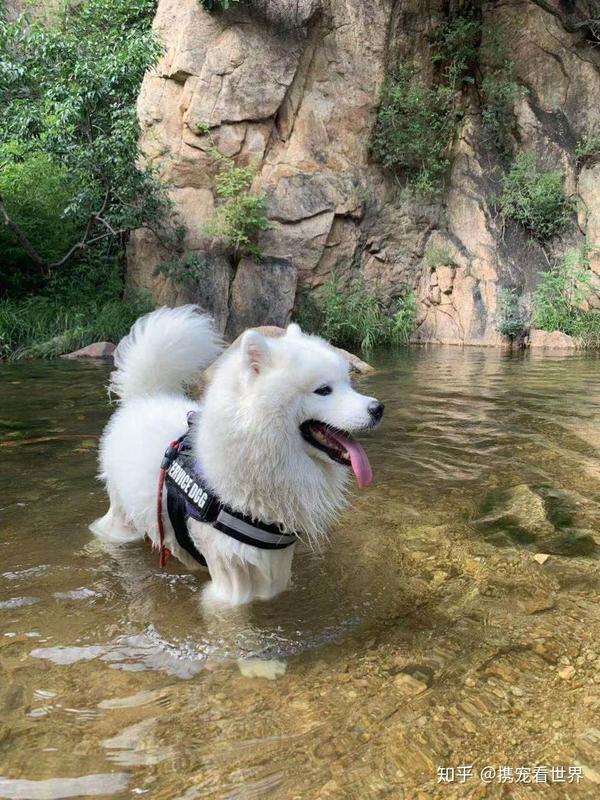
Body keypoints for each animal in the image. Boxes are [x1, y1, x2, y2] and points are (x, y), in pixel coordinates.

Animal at [94, 306, 384, 608]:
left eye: (348, 384)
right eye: (324, 390)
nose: (378, 408)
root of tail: (144, 398)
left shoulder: (274, 560)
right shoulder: (231, 572)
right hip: (121, 516)